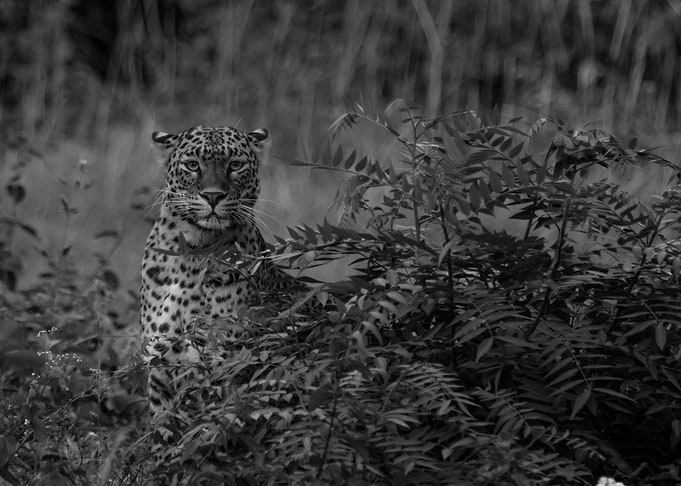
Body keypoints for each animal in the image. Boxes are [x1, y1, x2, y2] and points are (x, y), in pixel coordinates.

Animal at [139, 124, 280, 428]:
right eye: (193, 165)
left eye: (235, 165)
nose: (213, 196)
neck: (193, 251)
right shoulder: (159, 366)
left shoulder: (224, 362)